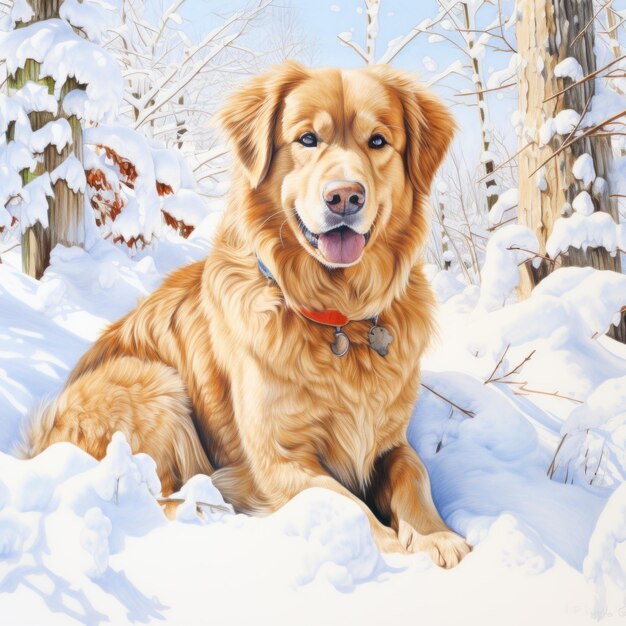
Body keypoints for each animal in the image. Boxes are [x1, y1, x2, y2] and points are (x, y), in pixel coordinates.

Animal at [25, 62, 472, 564]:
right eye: (307, 139)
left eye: (377, 141)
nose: (345, 197)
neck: (339, 317)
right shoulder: (278, 459)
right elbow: (345, 503)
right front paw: (399, 552)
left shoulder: (390, 441)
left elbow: (414, 474)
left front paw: (438, 536)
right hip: (152, 381)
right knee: (158, 494)